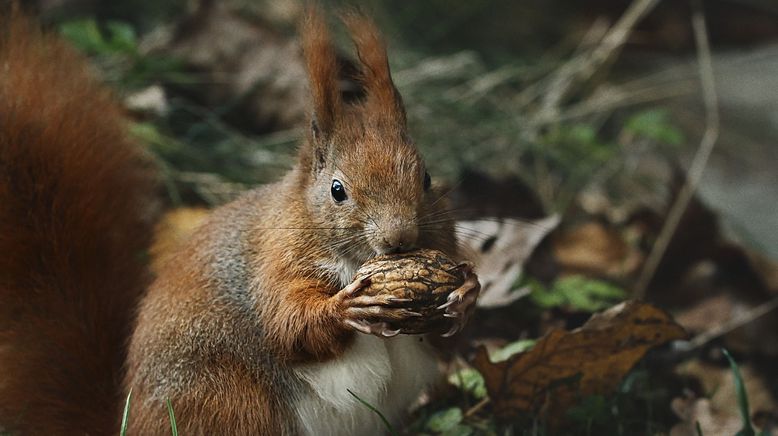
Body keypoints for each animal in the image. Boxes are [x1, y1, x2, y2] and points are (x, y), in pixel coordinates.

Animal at [0, 6, 478, 436]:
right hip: (231, 399)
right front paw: (344, 306)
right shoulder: (274, 263)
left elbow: (444, 335)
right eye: (337, 190)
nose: (400, 238)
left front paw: (466, 292)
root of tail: (130, 420)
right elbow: (288, 325)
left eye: (426, 178)